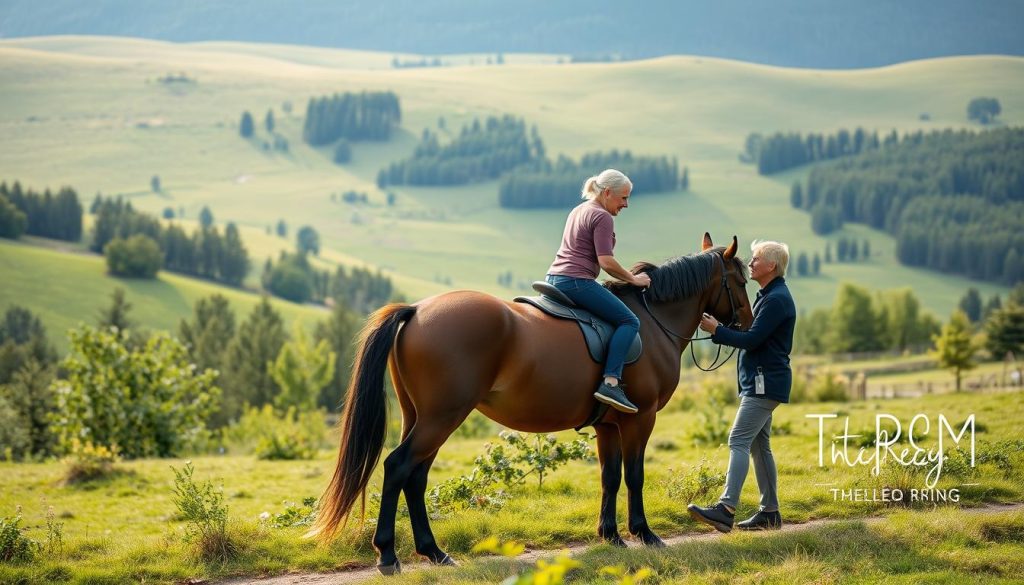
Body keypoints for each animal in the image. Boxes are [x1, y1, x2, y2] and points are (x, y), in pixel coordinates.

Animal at [309, 232, 753, 573]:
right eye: (740, 281)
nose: (749, 325)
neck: (650, 320)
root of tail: (417, 310)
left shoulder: (608, 426)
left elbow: (609, 477)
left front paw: (610, 536)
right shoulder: (639, 420)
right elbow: (634, 476)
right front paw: (644, 533)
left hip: (421, 416)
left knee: (415, 476)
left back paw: (434, 553)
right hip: (442, 416)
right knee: (399, 467)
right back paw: (388, 554)